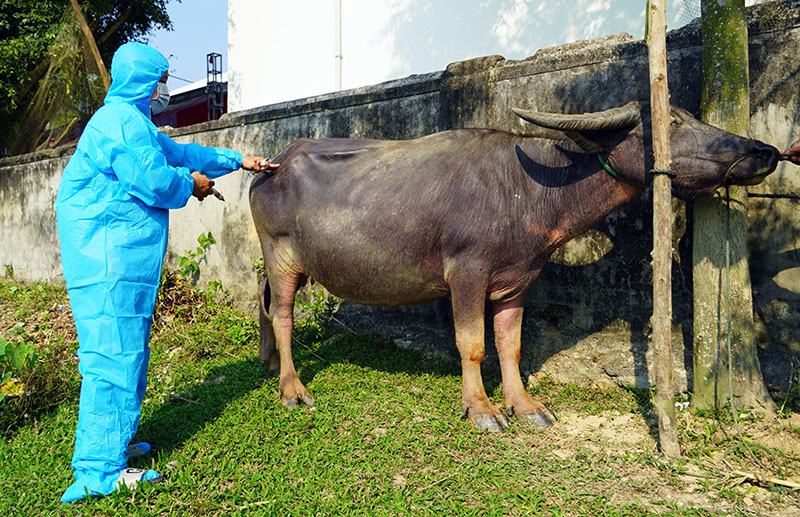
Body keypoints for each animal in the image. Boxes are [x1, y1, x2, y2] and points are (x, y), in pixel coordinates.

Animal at [248, 101, 776, 432]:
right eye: (672, 123)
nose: (763, 152)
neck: (529, 189)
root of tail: (271, 165)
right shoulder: (466, 273)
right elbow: (473, 344)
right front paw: (481, 409)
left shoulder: (518, 281)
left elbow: (511, 345)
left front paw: (524, 406)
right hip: (280, 255)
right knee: (283, 313)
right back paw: (292, 387)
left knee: (262, 300)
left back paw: (268, 364)